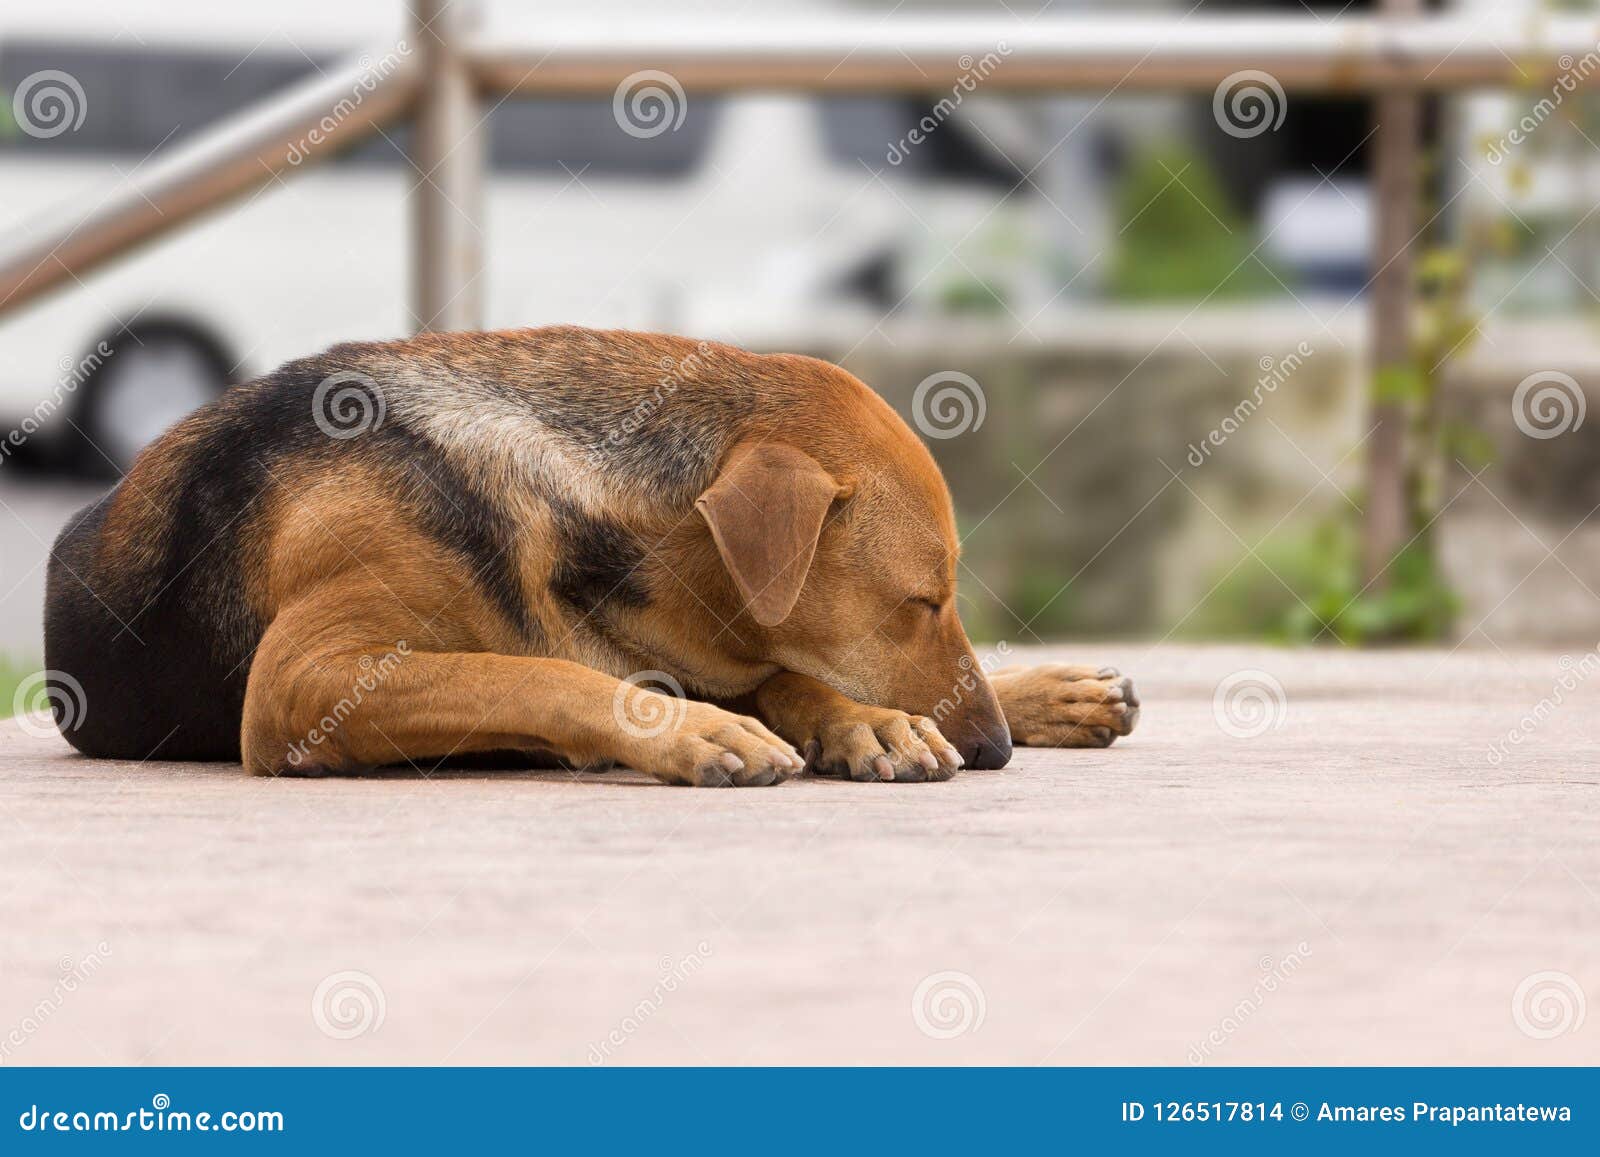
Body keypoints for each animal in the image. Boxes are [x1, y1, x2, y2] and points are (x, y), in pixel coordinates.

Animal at [40, 323, 1139, 787]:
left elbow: (791, 677)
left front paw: (864, 722)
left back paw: (1055, 693)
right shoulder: (304, 682)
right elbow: (533, 674)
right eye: (921, 600)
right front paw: (701, 731)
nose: (994, 747)